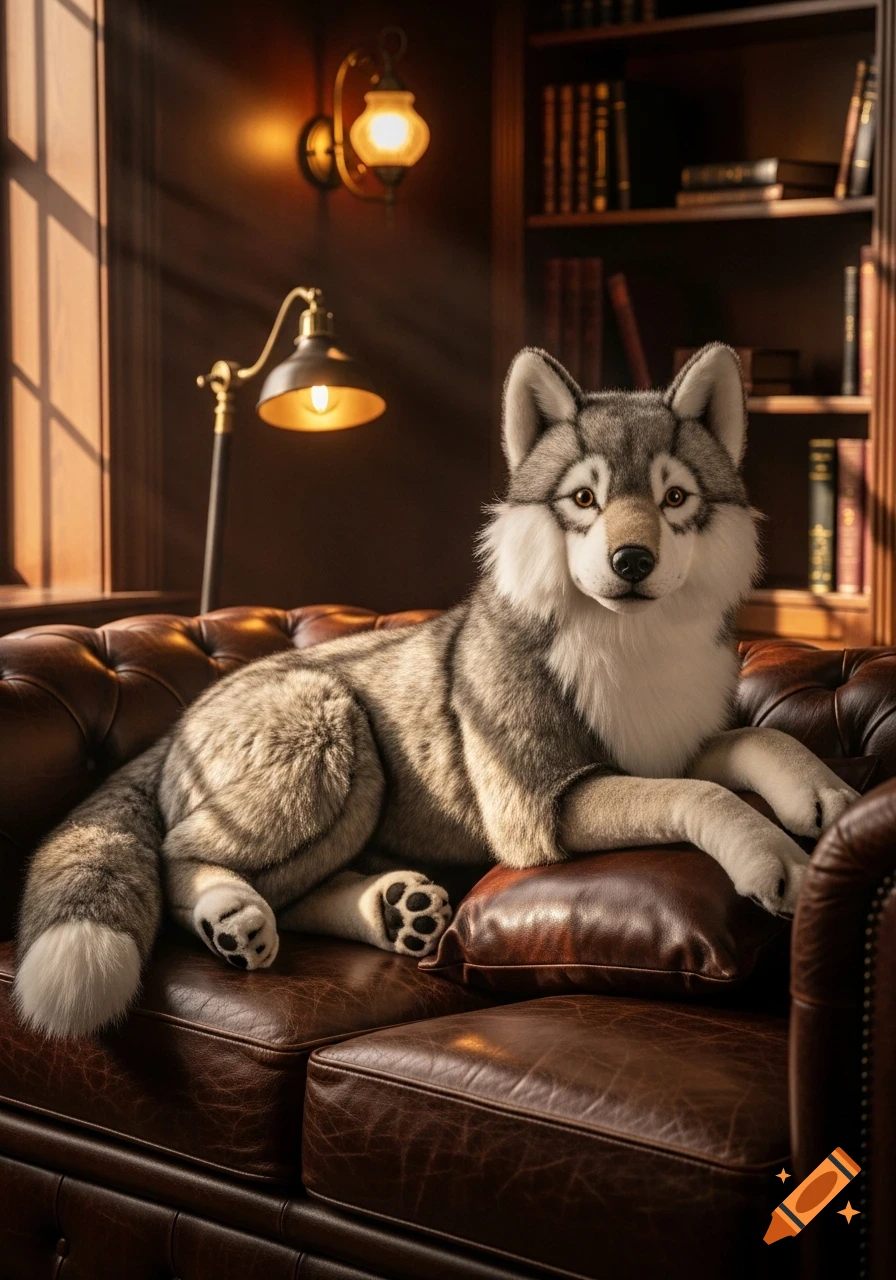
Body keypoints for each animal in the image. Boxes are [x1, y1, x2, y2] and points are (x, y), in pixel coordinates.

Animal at [15, 343, 858, 1038]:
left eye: (675, 498)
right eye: (584, 500)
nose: (631, 562)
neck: (628, 646)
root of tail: (181, 720)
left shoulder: (669, 747)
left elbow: (756, 737)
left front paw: (821, 795)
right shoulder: (543, 809)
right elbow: (701, 797)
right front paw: (769, 855)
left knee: (294, 892)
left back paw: (393, 912)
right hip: (337, 735)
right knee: (177, 854)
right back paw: (232, 912)